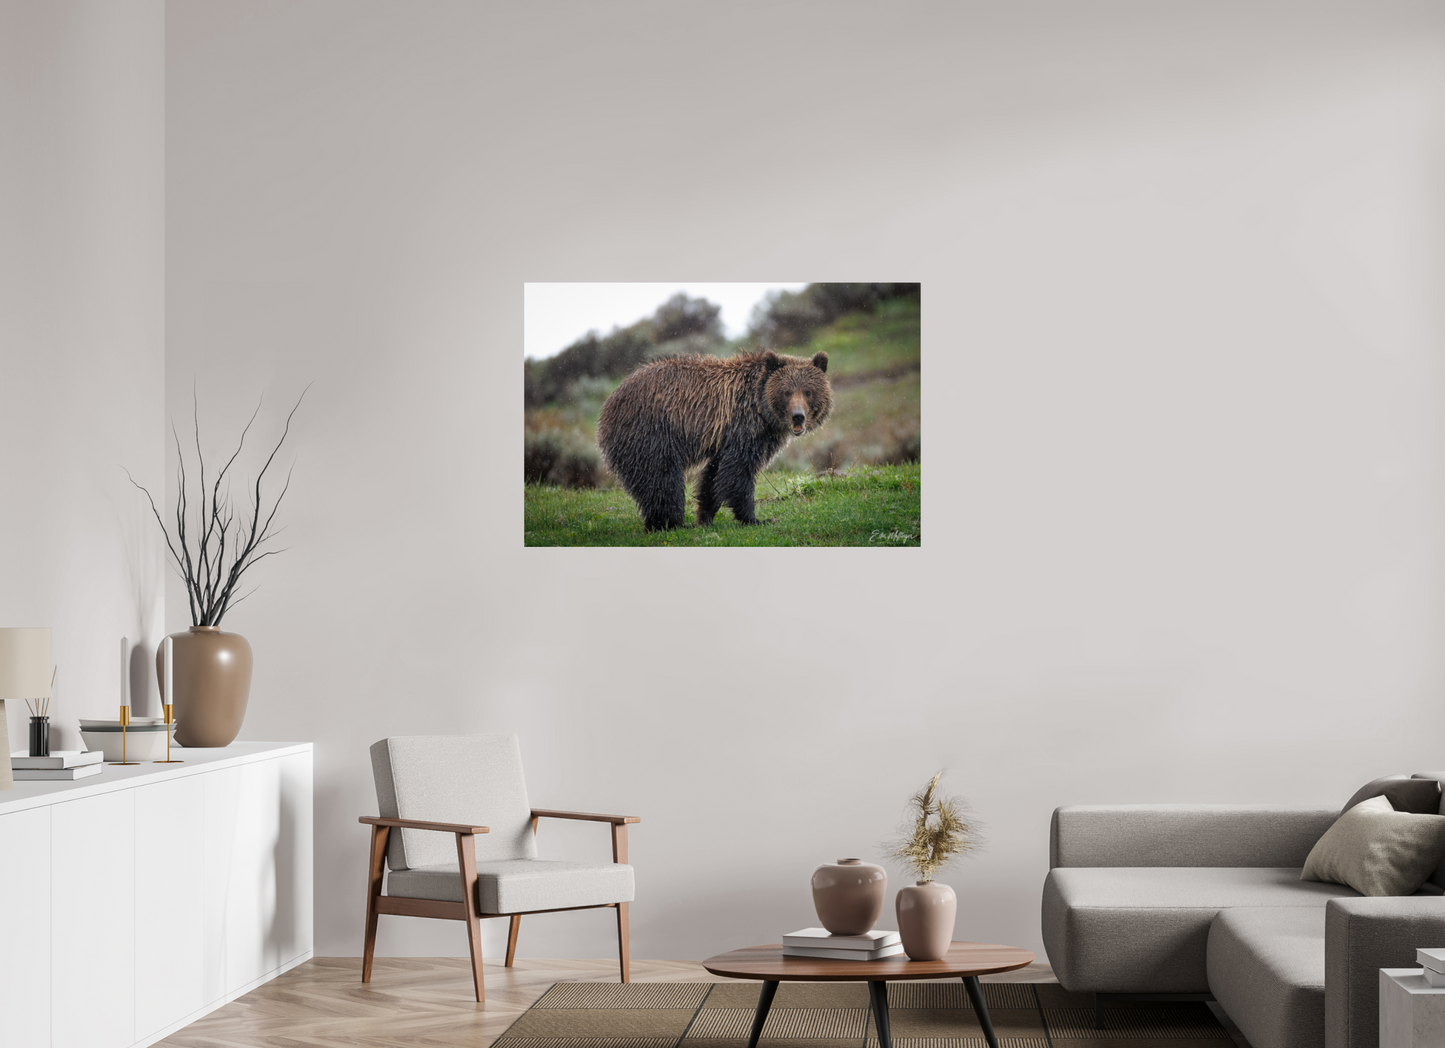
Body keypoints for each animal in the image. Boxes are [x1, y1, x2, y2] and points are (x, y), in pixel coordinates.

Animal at [596, 349, 833, 530]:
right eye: (787, 392)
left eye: (808, 391)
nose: (798, 416)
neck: (762, 410)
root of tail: (609, 404)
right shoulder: (743, 429)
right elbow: (738, 473)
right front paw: (755, 518)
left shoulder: (726, 439)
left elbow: (714, 475)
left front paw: (705, 516)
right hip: (651, 433)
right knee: (662, 479)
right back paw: (670, 523)